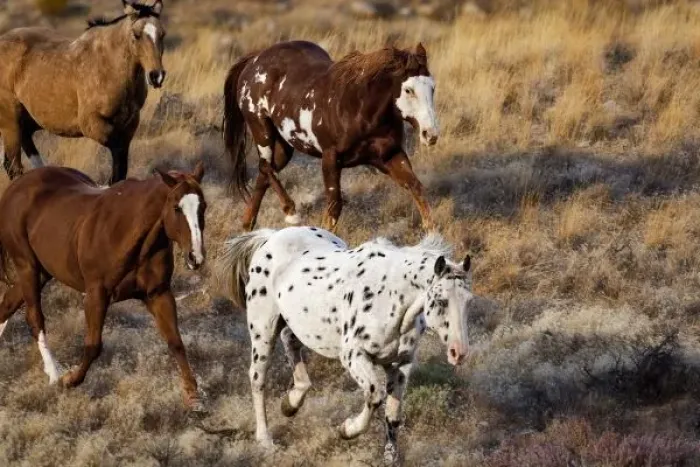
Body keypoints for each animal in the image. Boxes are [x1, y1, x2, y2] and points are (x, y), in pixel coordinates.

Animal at [0, 0, 166, 184]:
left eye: (162, 34)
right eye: (136, 35)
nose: (156, 76)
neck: (109, 66)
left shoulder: (129, 125)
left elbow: (120, 168)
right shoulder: (91, 124)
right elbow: (117, 155)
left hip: (26, 123)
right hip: (10, 122)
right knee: (13, 166)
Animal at [0, 162, 207, 410]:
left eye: (203, 207)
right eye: (177, 207)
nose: (196, 257)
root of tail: (16, 187)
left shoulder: (159, 294)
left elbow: (175, 341)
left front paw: (194, 396)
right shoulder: (96, 295)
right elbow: (93, 345)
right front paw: (69, 380)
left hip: (43, 271)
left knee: (7, 305)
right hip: (27, 266)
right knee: (34, 318)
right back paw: (54, 373)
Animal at [216, 226, 471, 464]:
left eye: (468, 301)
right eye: (441, 301)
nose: (459, 352)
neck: (391, 296)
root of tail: (271, 236)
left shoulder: (401, 364)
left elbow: (393, 415)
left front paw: (390, 456)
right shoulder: (353, 356)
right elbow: (374, 395)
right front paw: (346, 430)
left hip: (298, 323)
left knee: (290, 341)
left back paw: (291, 403)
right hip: (263, 328)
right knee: (258, 378)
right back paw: (265, 439)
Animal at [223, 40, 440, 232]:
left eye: (432, 87)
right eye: (408, 90)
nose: (431, 134)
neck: (360, 108)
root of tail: (255, 60)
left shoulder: (390, 155)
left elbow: (417, 188)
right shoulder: (330, 159)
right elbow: (334, 208)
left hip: (284, 146)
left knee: (264, 174)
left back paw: (248, 225)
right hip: (261, 129)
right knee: (265, 167)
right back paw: (291, 213)